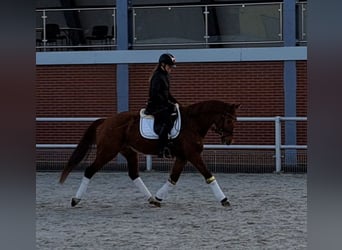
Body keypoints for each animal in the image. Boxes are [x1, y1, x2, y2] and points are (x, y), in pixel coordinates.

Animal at [59, 99, 240, 207]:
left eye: (235, 120)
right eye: (228, 120)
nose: (228, 141)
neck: (192, 123)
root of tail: (106, 121)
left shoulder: (183, 157)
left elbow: (173, 179)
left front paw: (159, 198)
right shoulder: (192, 155)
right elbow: (208, 175)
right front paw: (224, 200)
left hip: (128, 152)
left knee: (133, 174)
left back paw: (151, 199)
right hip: (108, 152)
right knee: (90, 170)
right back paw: (75, 199)